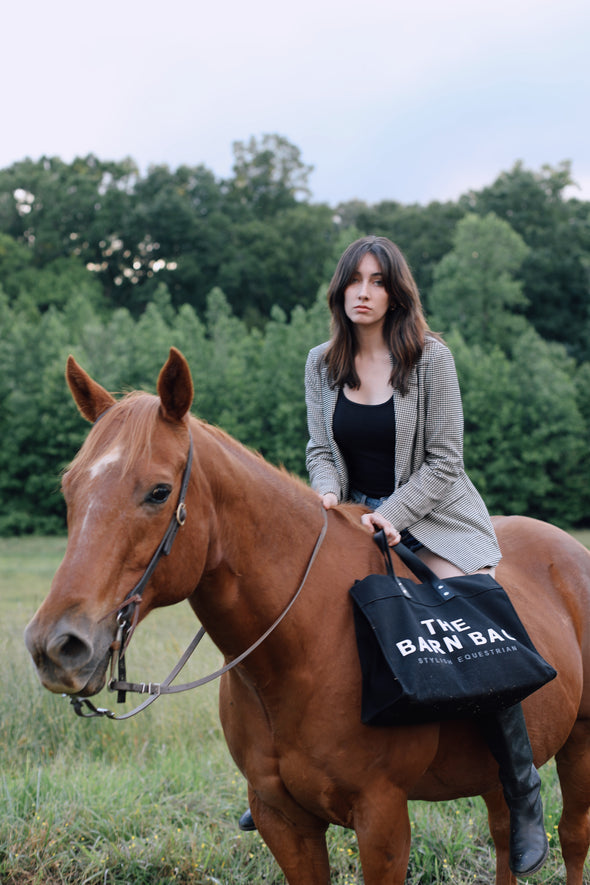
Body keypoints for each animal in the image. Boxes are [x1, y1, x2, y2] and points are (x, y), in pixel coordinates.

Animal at [25, 348, 590, 880]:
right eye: (69, 487)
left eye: (159, 491)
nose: (56, 646)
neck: (302, 650)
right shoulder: (281, 818)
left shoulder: (382, 818)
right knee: (503, 838)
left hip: (579, 743)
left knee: (571, 836)